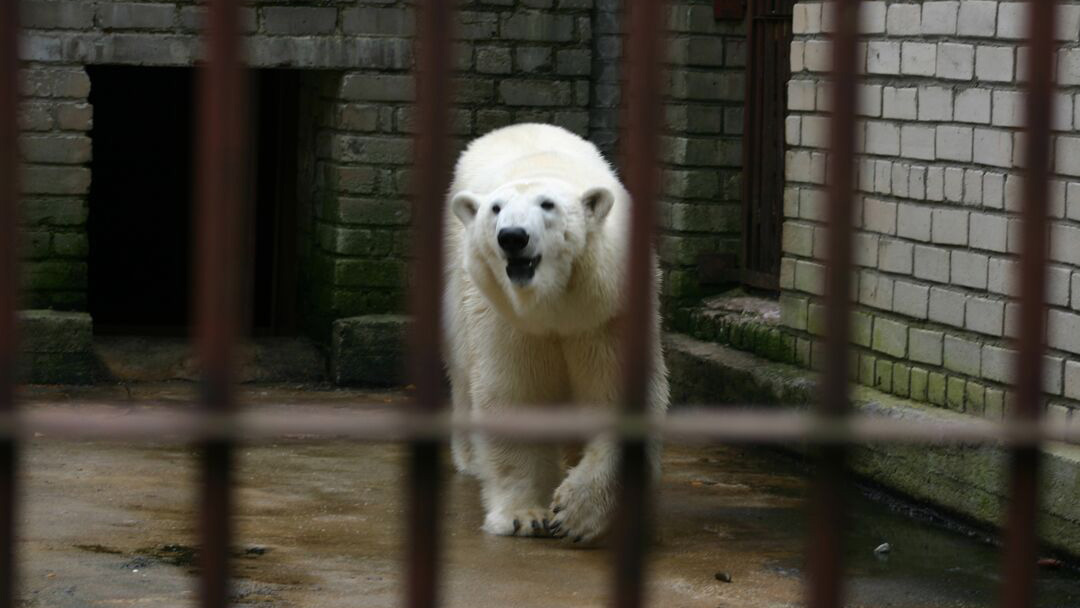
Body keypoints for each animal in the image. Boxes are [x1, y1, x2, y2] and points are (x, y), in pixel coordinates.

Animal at [444, 123, 665, 542]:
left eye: (548, 205)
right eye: (495, 209)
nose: (512, 236)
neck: (553, 305)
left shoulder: (606, 314)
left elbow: (615, 395)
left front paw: (578, 512)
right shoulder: (506, 319)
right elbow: (514, 395)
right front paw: (525, 515)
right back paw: (469, 458)